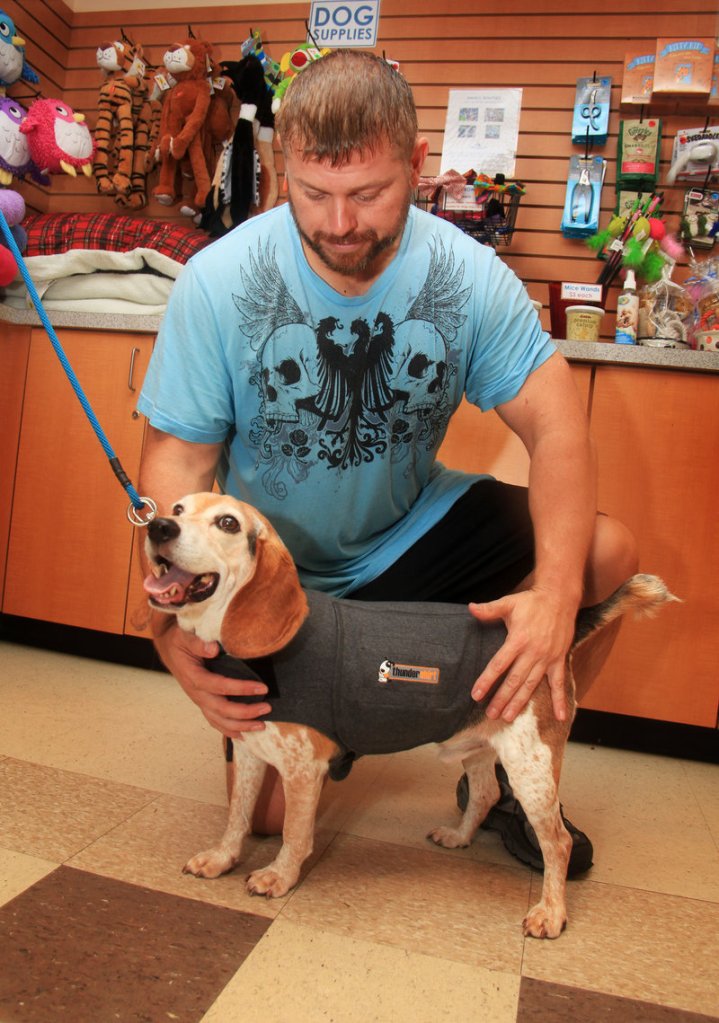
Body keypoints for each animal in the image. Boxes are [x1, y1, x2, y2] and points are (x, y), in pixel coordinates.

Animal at [142, 491, 675, 937]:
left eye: (228, 523)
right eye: (178, 507)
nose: (159, 526)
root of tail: (558, 629)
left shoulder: (302, 769)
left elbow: (293, 832)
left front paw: (278, 876)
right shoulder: (250, 750)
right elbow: (237, 816)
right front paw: (221, 858)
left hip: (532, 767)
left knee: (557, 843)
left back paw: (551, 912)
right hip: (480, 745)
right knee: (484, 794)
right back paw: (459, 837)